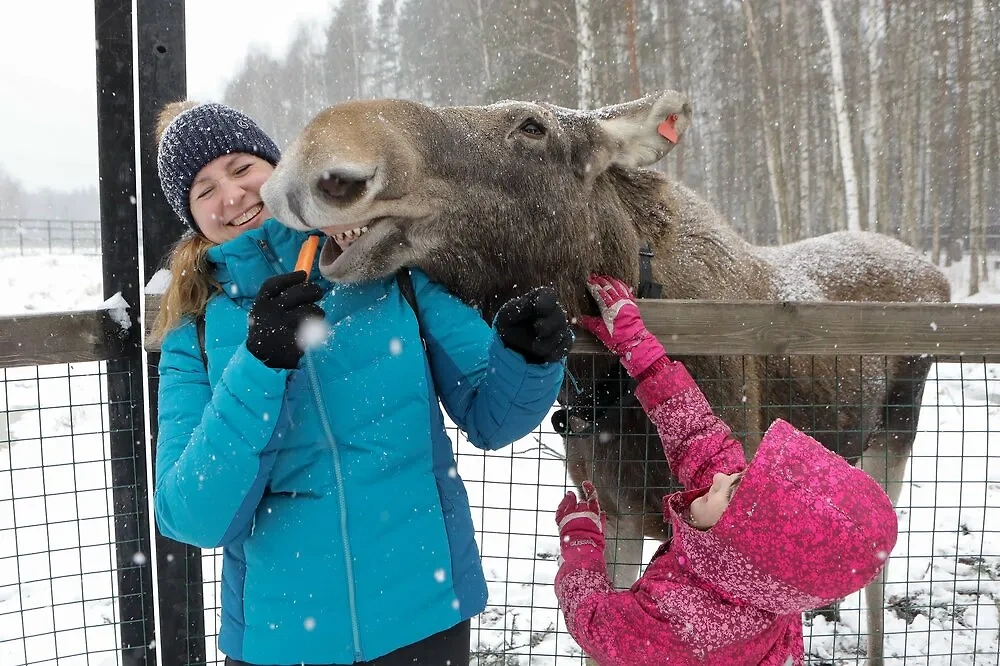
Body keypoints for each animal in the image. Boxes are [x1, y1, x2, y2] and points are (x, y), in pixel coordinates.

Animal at [262, 89, 948, 664]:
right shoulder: (612, 510)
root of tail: (937, 274)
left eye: (532, 126)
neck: (600, 380)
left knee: (881, 575)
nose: (326, 159)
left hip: (897, 435)